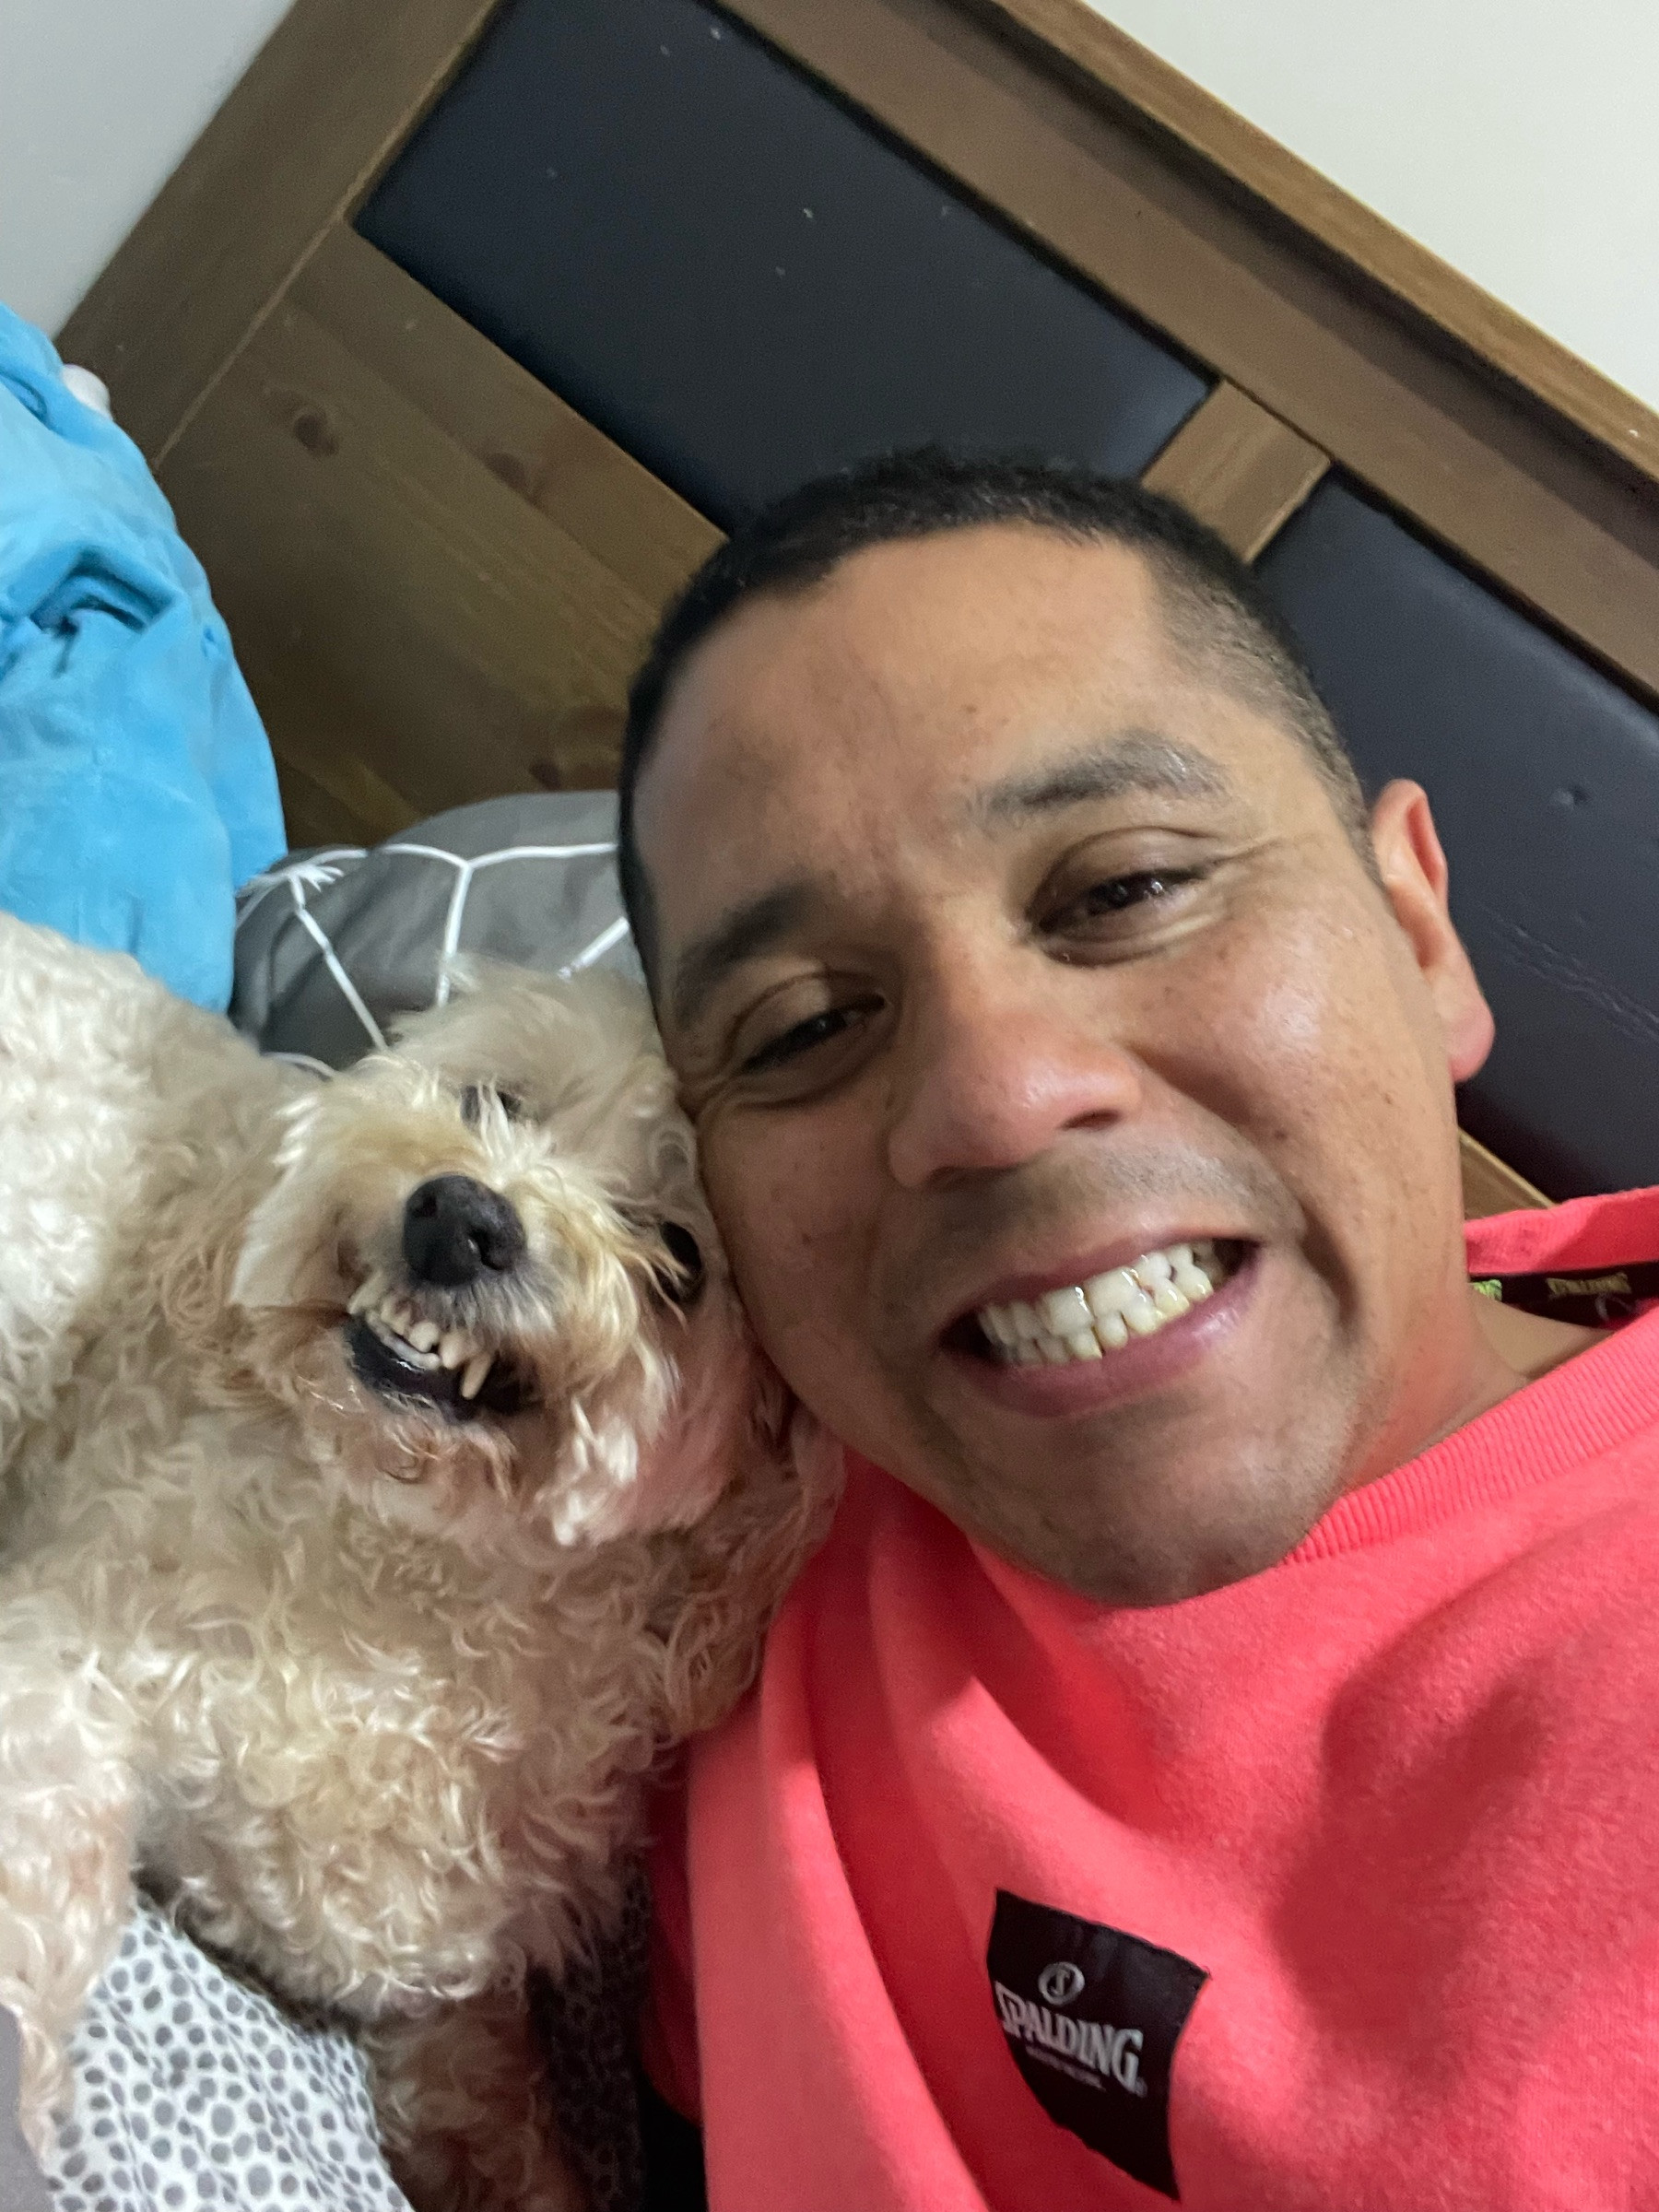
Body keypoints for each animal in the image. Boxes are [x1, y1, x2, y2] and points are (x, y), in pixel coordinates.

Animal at [0, 912, 836, 2210]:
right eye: (492, 1098)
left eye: (681, 1257)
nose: (463, 1218)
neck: (414, 1589)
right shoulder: (68, 1670)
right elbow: (36, 1865)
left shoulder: (442, 2008)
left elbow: (499, 2132)